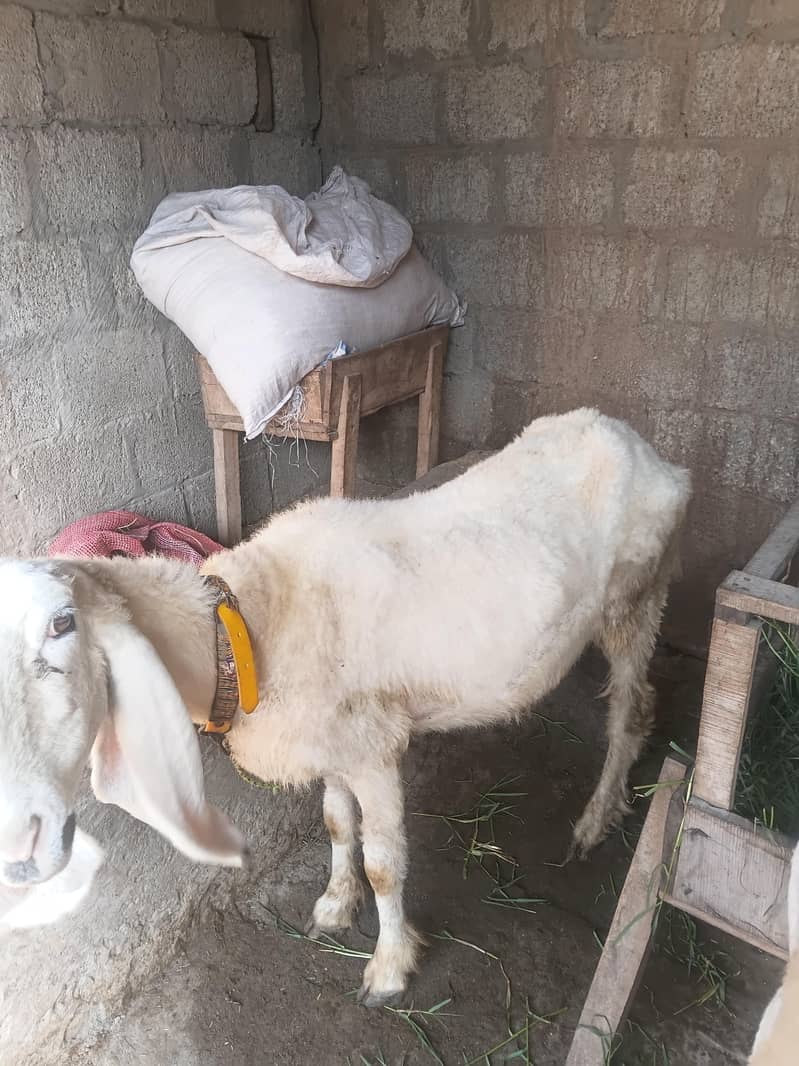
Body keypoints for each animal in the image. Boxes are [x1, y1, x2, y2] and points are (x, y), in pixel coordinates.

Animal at [0, 407, 690, 1005]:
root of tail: (643, 447)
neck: (252, 619)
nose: (22, 838)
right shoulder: (328, 740)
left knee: (631, 711)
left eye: (63, 624)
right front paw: (334, 903)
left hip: (637, 596)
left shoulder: (373, 747)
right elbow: (336, 823)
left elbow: (384, 865)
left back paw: (597, 819)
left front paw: (388, 968)